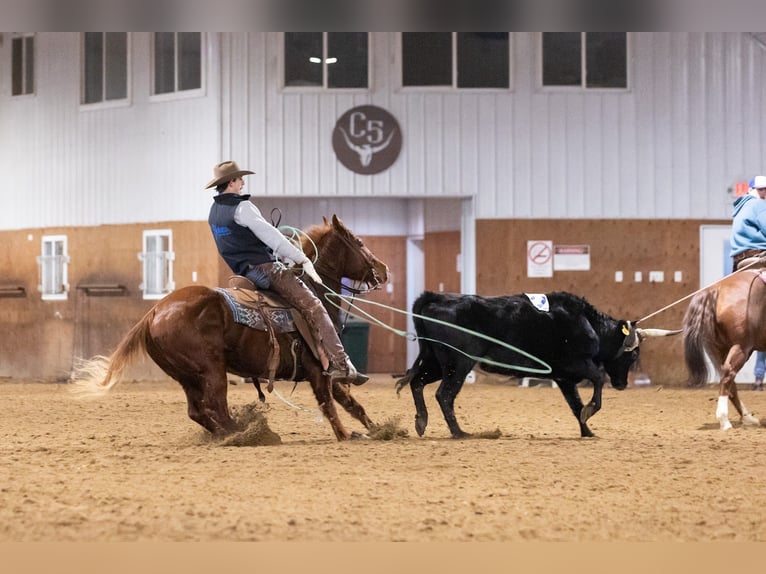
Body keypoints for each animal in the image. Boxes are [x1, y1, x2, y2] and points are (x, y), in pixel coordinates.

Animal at [71, 215, 389, 441]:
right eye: (359, 241)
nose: (384, 270)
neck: (315, 290)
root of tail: (153, 313)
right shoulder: (317, 367)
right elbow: (330, 404)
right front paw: (346, 435)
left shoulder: (323, 371)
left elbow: (351, 402)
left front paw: (378, 430)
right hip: (212, 368)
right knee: (215, 406)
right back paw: (249, 435)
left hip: (187, 375)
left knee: (198, 411)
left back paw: (233, 434)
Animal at [683, 267, 765, 430]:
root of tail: (715, 289)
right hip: (741, 347)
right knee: (728, 375)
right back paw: (724, 420)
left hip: (719, 347)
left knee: (728, 378)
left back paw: (747, 417)